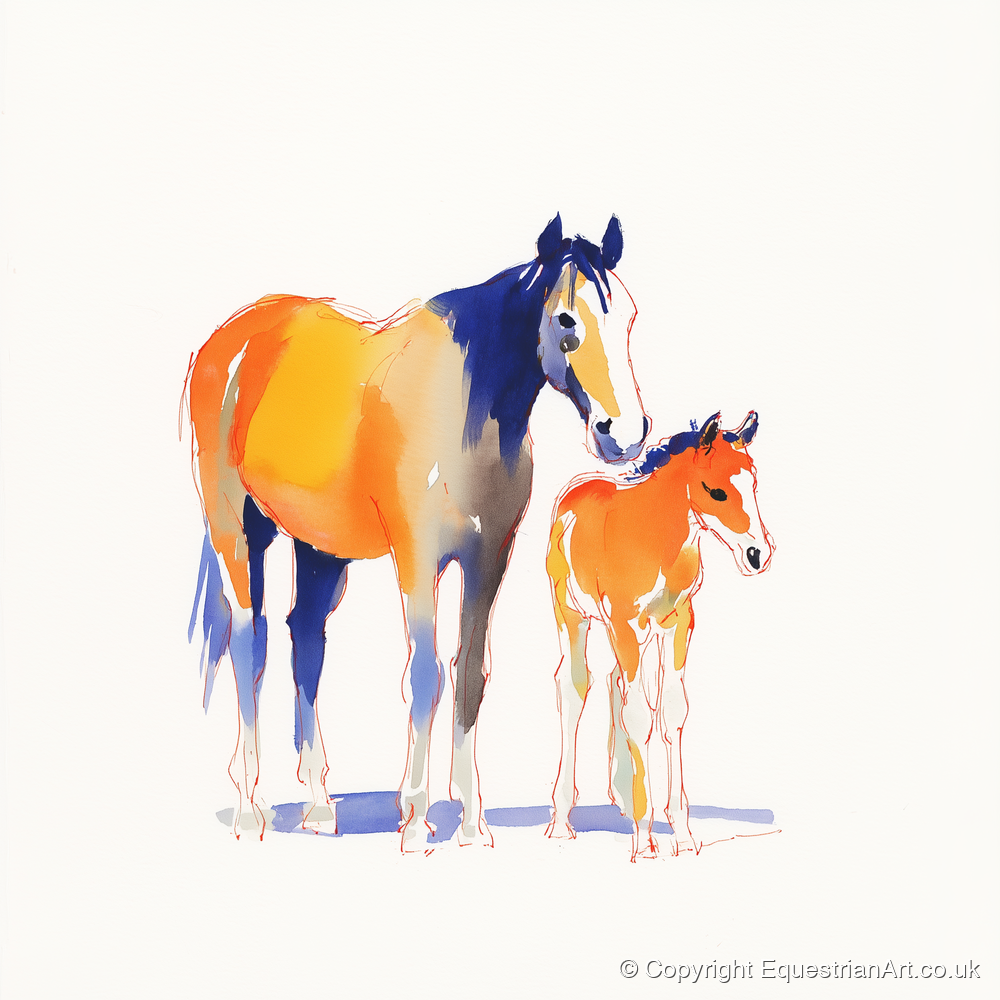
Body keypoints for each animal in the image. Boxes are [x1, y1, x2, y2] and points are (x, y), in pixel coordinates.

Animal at [186, 214, 649, 847]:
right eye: (566, 319)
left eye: (628, 315)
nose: (621, 433)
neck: (463, 406)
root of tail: (232, 335)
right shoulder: (417, 558)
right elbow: (425, 674)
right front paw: (415, 819)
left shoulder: (488, 559)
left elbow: (470, 674)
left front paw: (473, 826)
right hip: (237, 531)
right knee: (245, 640)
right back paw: (250, 809)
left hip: (319, 546)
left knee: (305, 639)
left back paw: (320, 806)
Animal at [544, 412, 774, 860]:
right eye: (716, 491)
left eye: (753, 483)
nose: (758, 556)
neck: (653, 536)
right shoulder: (625, 625)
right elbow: (639, 716)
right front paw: (645, 840)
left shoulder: (677, 623)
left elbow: (671, 711)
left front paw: (682, 834)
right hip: (574, 616)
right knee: (574, 686)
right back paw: (562, 821)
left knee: (615, 681)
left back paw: (619, 795)